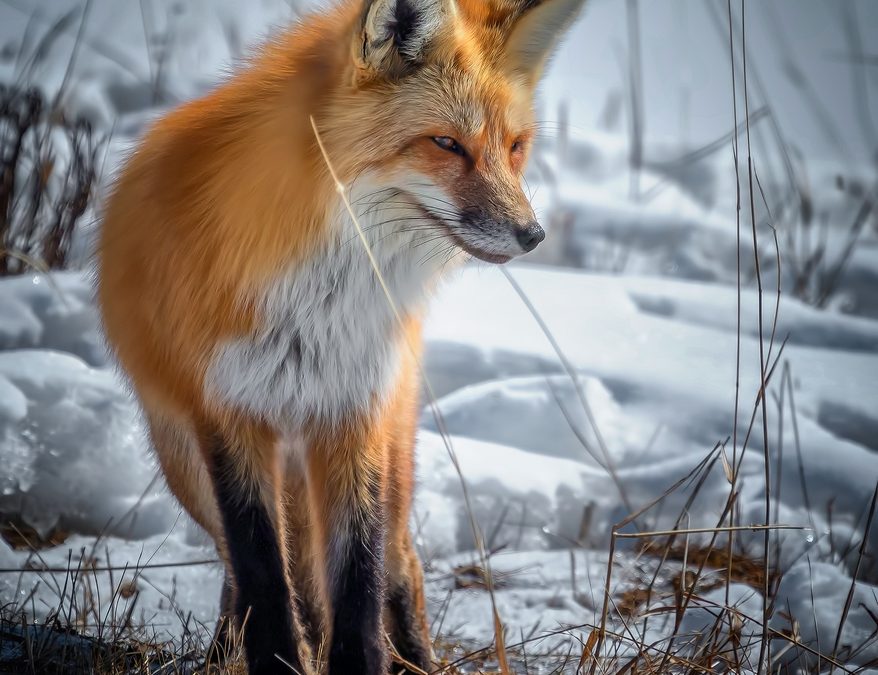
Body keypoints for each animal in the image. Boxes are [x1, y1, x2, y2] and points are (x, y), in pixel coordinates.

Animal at [97, 0, 584, 672]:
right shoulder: (227, 415)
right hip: (183, 461)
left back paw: (416, 656)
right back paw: (228, 650)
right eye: (446, 143)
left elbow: (358, 578)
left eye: (515, 147)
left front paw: (360, 659)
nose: (532, 235)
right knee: (240, 568)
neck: (320, 305)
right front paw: (279, 657)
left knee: (400, 565)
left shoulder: (355, 414)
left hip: (389, 448)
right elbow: (262, 571)